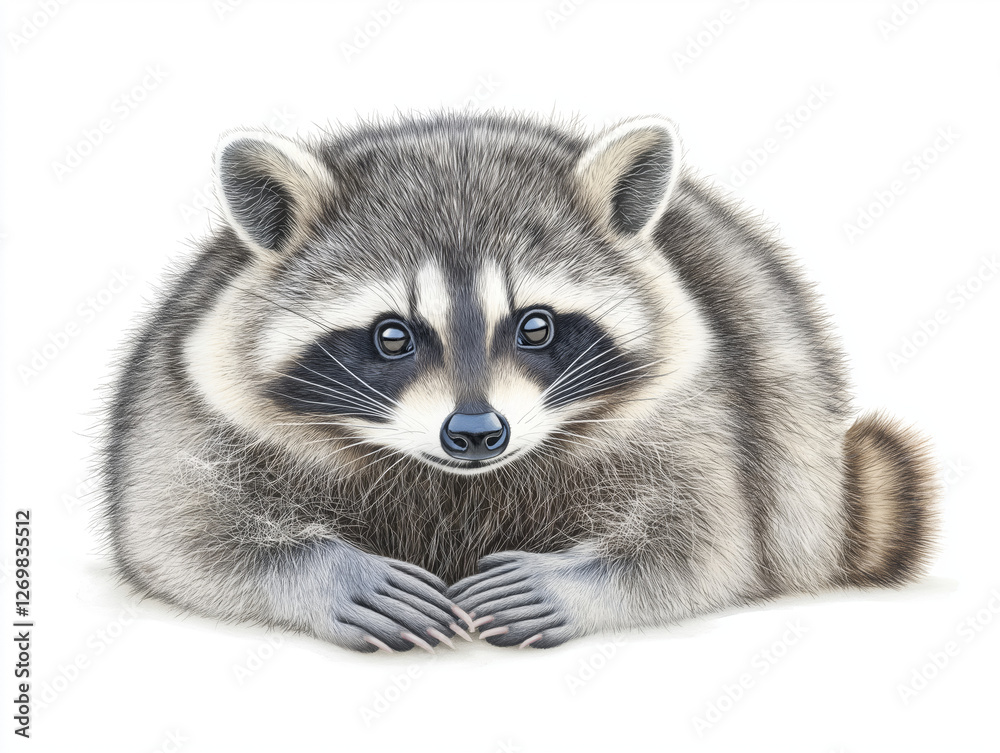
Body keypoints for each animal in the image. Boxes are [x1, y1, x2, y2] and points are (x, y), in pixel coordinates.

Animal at [100, 112, 937, 652]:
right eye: (392, 336)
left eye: (536, 326)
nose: (475, 433)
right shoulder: (187, 403)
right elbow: (178, 530)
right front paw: (330, 570)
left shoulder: (705, 409)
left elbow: (704, 544)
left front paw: (575, 581)